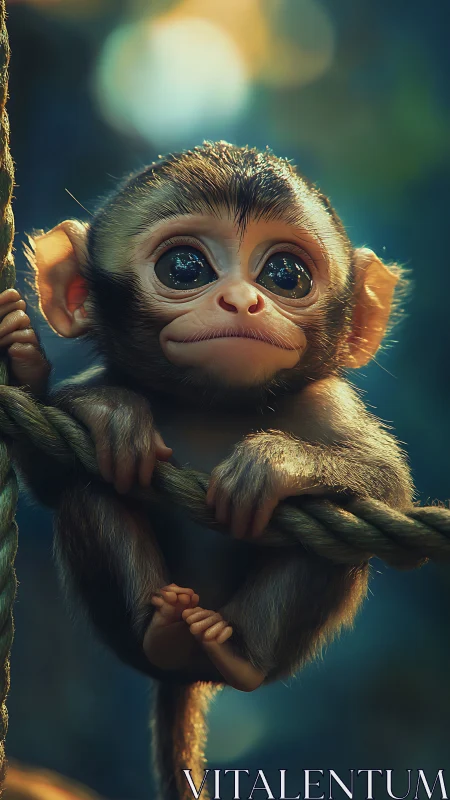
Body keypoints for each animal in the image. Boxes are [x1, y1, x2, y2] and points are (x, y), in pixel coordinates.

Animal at [2, 142, 413, 800]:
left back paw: (239, 654)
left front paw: (272, 466)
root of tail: (191, 671)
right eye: (186, 268)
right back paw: (163, 629)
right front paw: (84, 398)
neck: (215, 406)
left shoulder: (329, 401)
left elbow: (390, 487)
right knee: (92, 494)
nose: (242, 300)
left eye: (285, 275)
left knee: (328, 541)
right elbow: (54, 478)